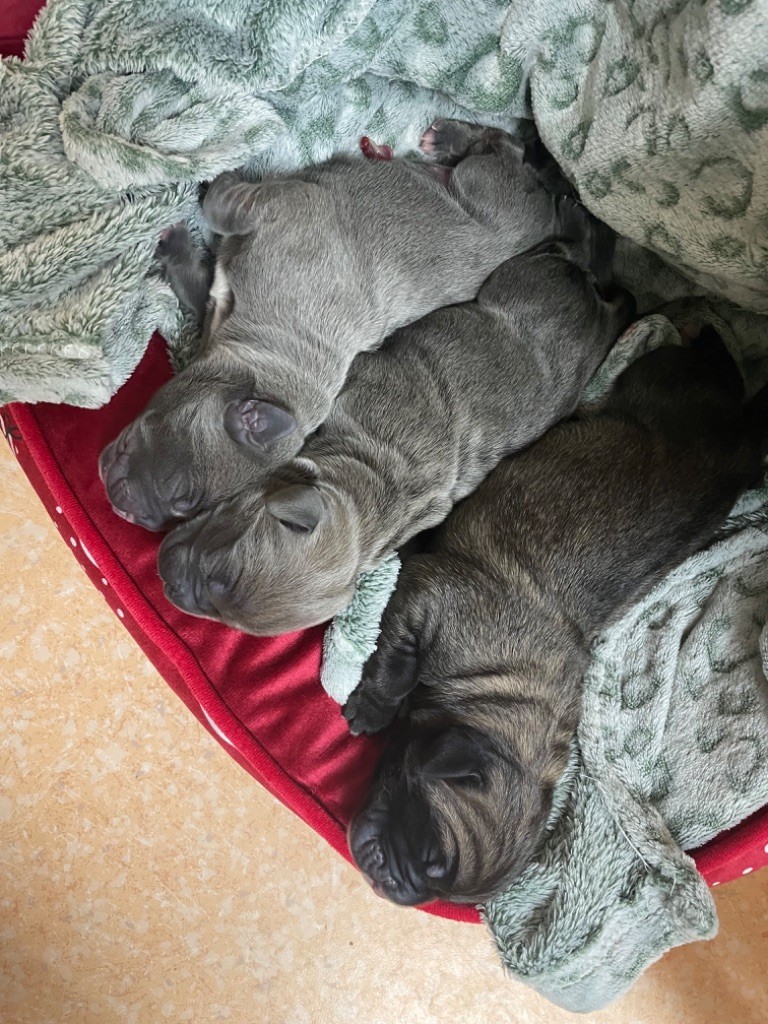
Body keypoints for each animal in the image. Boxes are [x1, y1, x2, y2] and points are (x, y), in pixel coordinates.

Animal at [99, 119, 569, 532]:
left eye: (182, 498)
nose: (129, 514)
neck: (278, 347)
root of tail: (550, 219)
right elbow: (201, 270)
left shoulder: (275, 205)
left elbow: (219, 207)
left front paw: (218, 179)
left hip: (486, 185)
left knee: (504, 147)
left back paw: (448, 137)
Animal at [348, 325, 768, 905]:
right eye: (432, 852)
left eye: (432, 869)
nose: (393, 886)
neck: (500, 696)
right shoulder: (424, 600)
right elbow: (392, 663)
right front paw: (371, 708)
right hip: (663, 381)